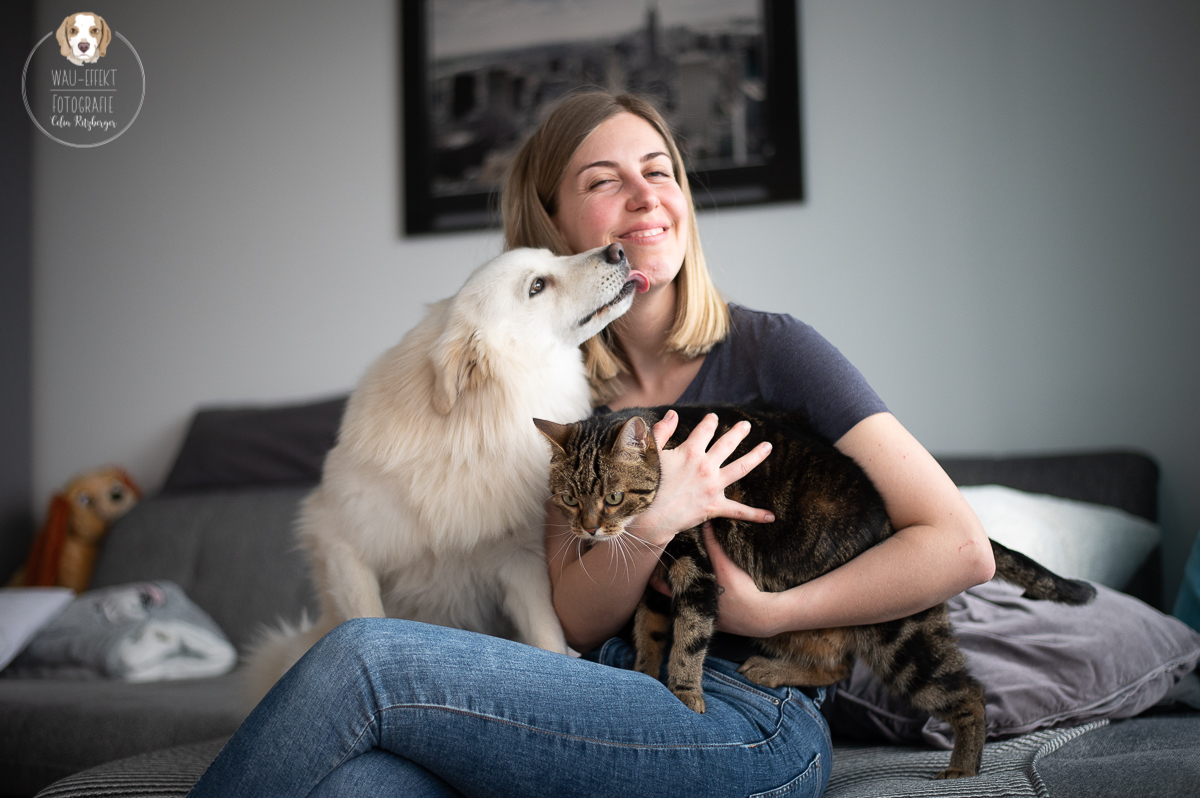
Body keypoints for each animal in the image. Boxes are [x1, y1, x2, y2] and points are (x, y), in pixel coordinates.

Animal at [245, 244, 646, 704]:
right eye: (537, 286)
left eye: (554, 257)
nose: (618, 249)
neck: (469, 433)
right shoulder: (342, 544)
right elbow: (366, 620)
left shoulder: (521, 565)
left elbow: (547, 638)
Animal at [534, 404, 1096, 779]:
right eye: (569, 499)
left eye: (612, 497)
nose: (588, 530)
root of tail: (890, 525)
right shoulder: (654, 582)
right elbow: (648, 633)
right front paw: (645, 673)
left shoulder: (695, 571)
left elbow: (688, 641)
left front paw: (685, 695)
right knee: (837, 663)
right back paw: (771, 669)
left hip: (902, 642)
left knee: (968, 695)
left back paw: (962, 770)